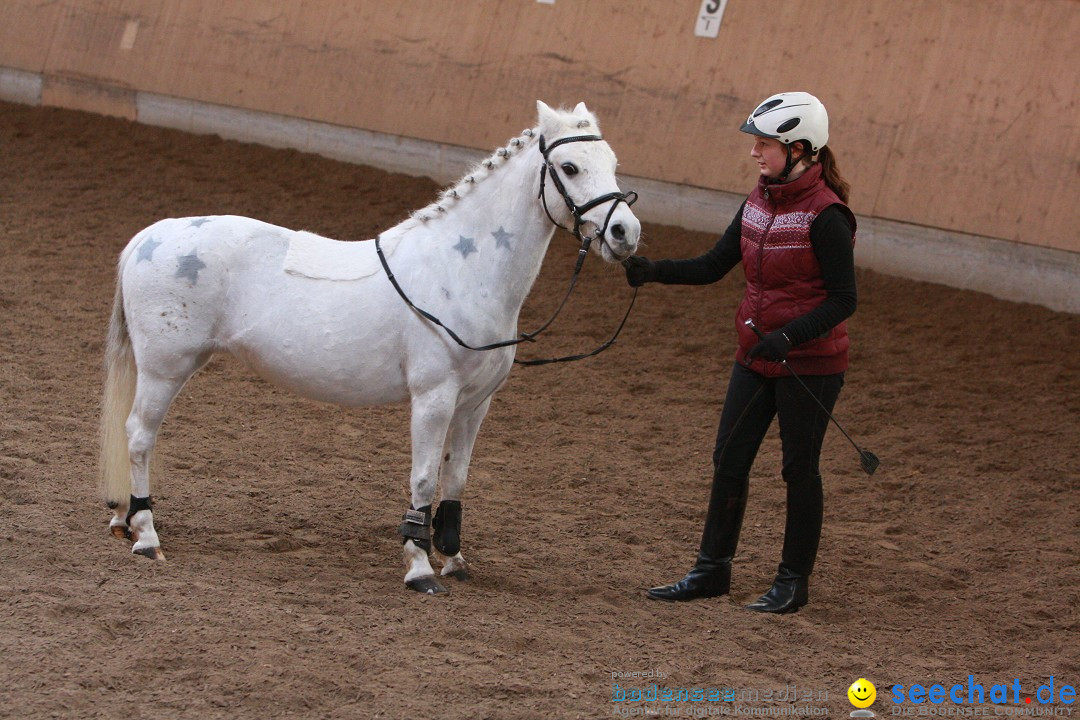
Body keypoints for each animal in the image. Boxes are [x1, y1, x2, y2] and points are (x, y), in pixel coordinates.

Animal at [99, 102, 639, 595]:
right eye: (569, 168)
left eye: (613, 161)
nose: (625, 233)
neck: (461, 271)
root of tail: (149, 236)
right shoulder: (433, 398)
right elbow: (423, 480)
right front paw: (420, 568)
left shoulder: (475, 404)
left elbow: (456, 478)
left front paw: (453, 558)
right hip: (166, 368)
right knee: (139, 436)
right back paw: (146, 535)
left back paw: (126, 520)